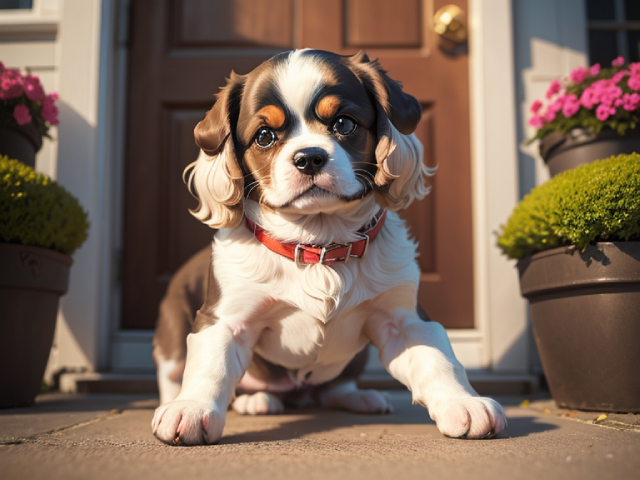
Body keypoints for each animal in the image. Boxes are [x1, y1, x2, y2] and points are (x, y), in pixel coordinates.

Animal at [151, 49, 504, 446]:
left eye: (344, 124)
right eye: (264, 136)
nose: (309, 157)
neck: (319, 244)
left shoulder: (405, 319)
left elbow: (439, 360)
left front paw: (464, 403)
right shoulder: (224, 319)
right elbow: (209, 366)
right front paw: (190, 408)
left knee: (335, 387)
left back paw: (360, 398)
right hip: (172, 329)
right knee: (174, 373)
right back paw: (251, 400)